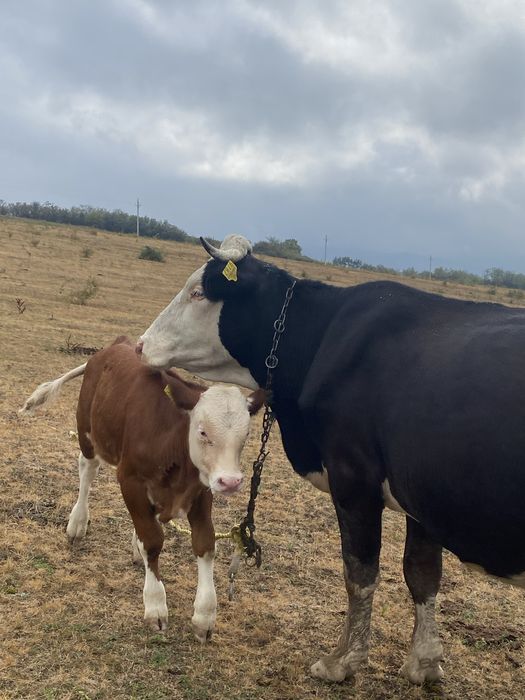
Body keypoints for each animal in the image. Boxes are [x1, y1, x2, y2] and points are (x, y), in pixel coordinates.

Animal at [20, 336, 264, 640]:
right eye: (202, 431)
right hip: (88, 430)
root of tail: (115, 345)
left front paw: (204, 616)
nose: (230, 482)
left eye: (246, 435)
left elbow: (205, 543)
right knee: (87, 469)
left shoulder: (201, 489)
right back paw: (77, 523)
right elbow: (153, 540)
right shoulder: (130, 479)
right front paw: (156, 605)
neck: (172, 442)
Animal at [136, 234, 525, 684]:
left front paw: (343, 660)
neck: (323, 336)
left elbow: (360, 573)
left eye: (198, 291)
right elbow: (423, 574)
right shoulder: (422, 494)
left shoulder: (353, 478)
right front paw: (424, 663)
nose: (140, 345)